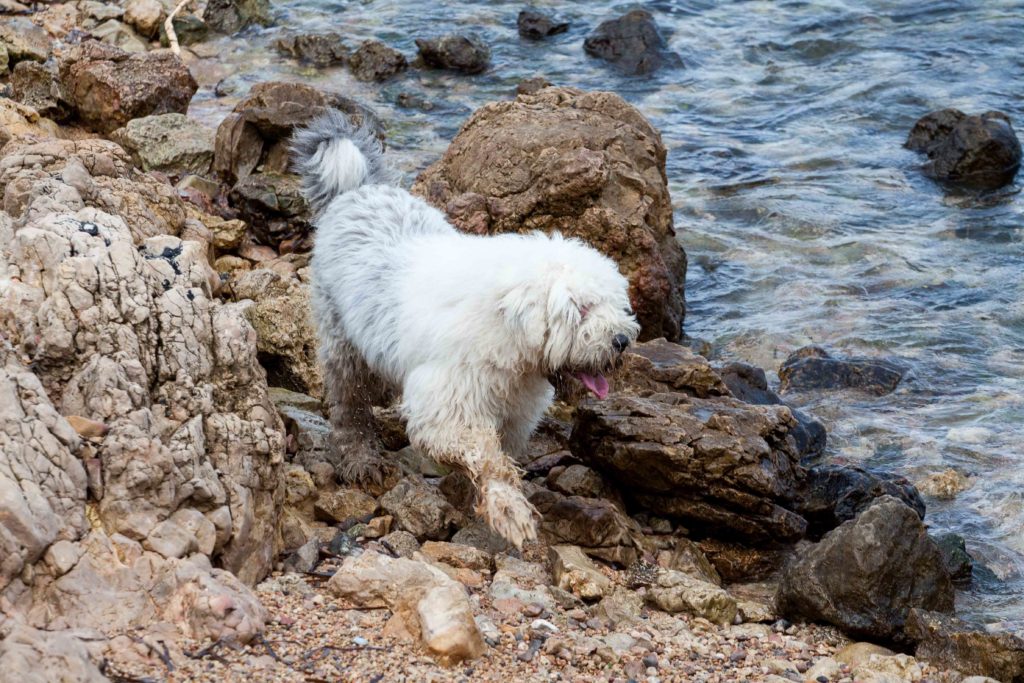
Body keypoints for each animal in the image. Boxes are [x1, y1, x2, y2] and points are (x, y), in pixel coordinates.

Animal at [292, 113, 634, 548]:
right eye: (582, 308)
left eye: (615, 303)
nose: (621, 341)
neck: (506, 329)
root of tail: (359, 189)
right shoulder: (447, 404)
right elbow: (484, 454)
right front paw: (511, 512)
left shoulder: (514, 415)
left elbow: (496, 453)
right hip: (342, 342)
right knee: (349, 405)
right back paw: (361, 458)